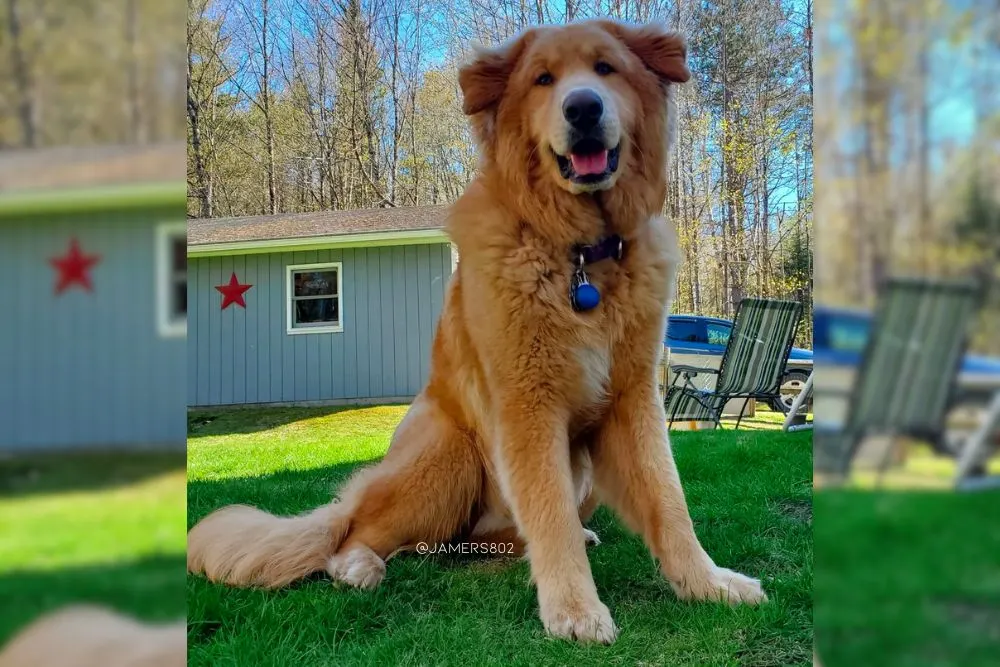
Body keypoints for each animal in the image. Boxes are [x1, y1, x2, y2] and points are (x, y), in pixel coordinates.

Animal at [188, 18, 764, 640]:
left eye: (606, 68)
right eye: (543, 80)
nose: (583, 107)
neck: (578, 255)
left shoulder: (632, 401)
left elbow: (668, 502)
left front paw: (708, 583)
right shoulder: (526, 407)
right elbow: (551, 514)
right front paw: (575, 610)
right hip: (450, 454)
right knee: (358, 535)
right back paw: (359, 565)